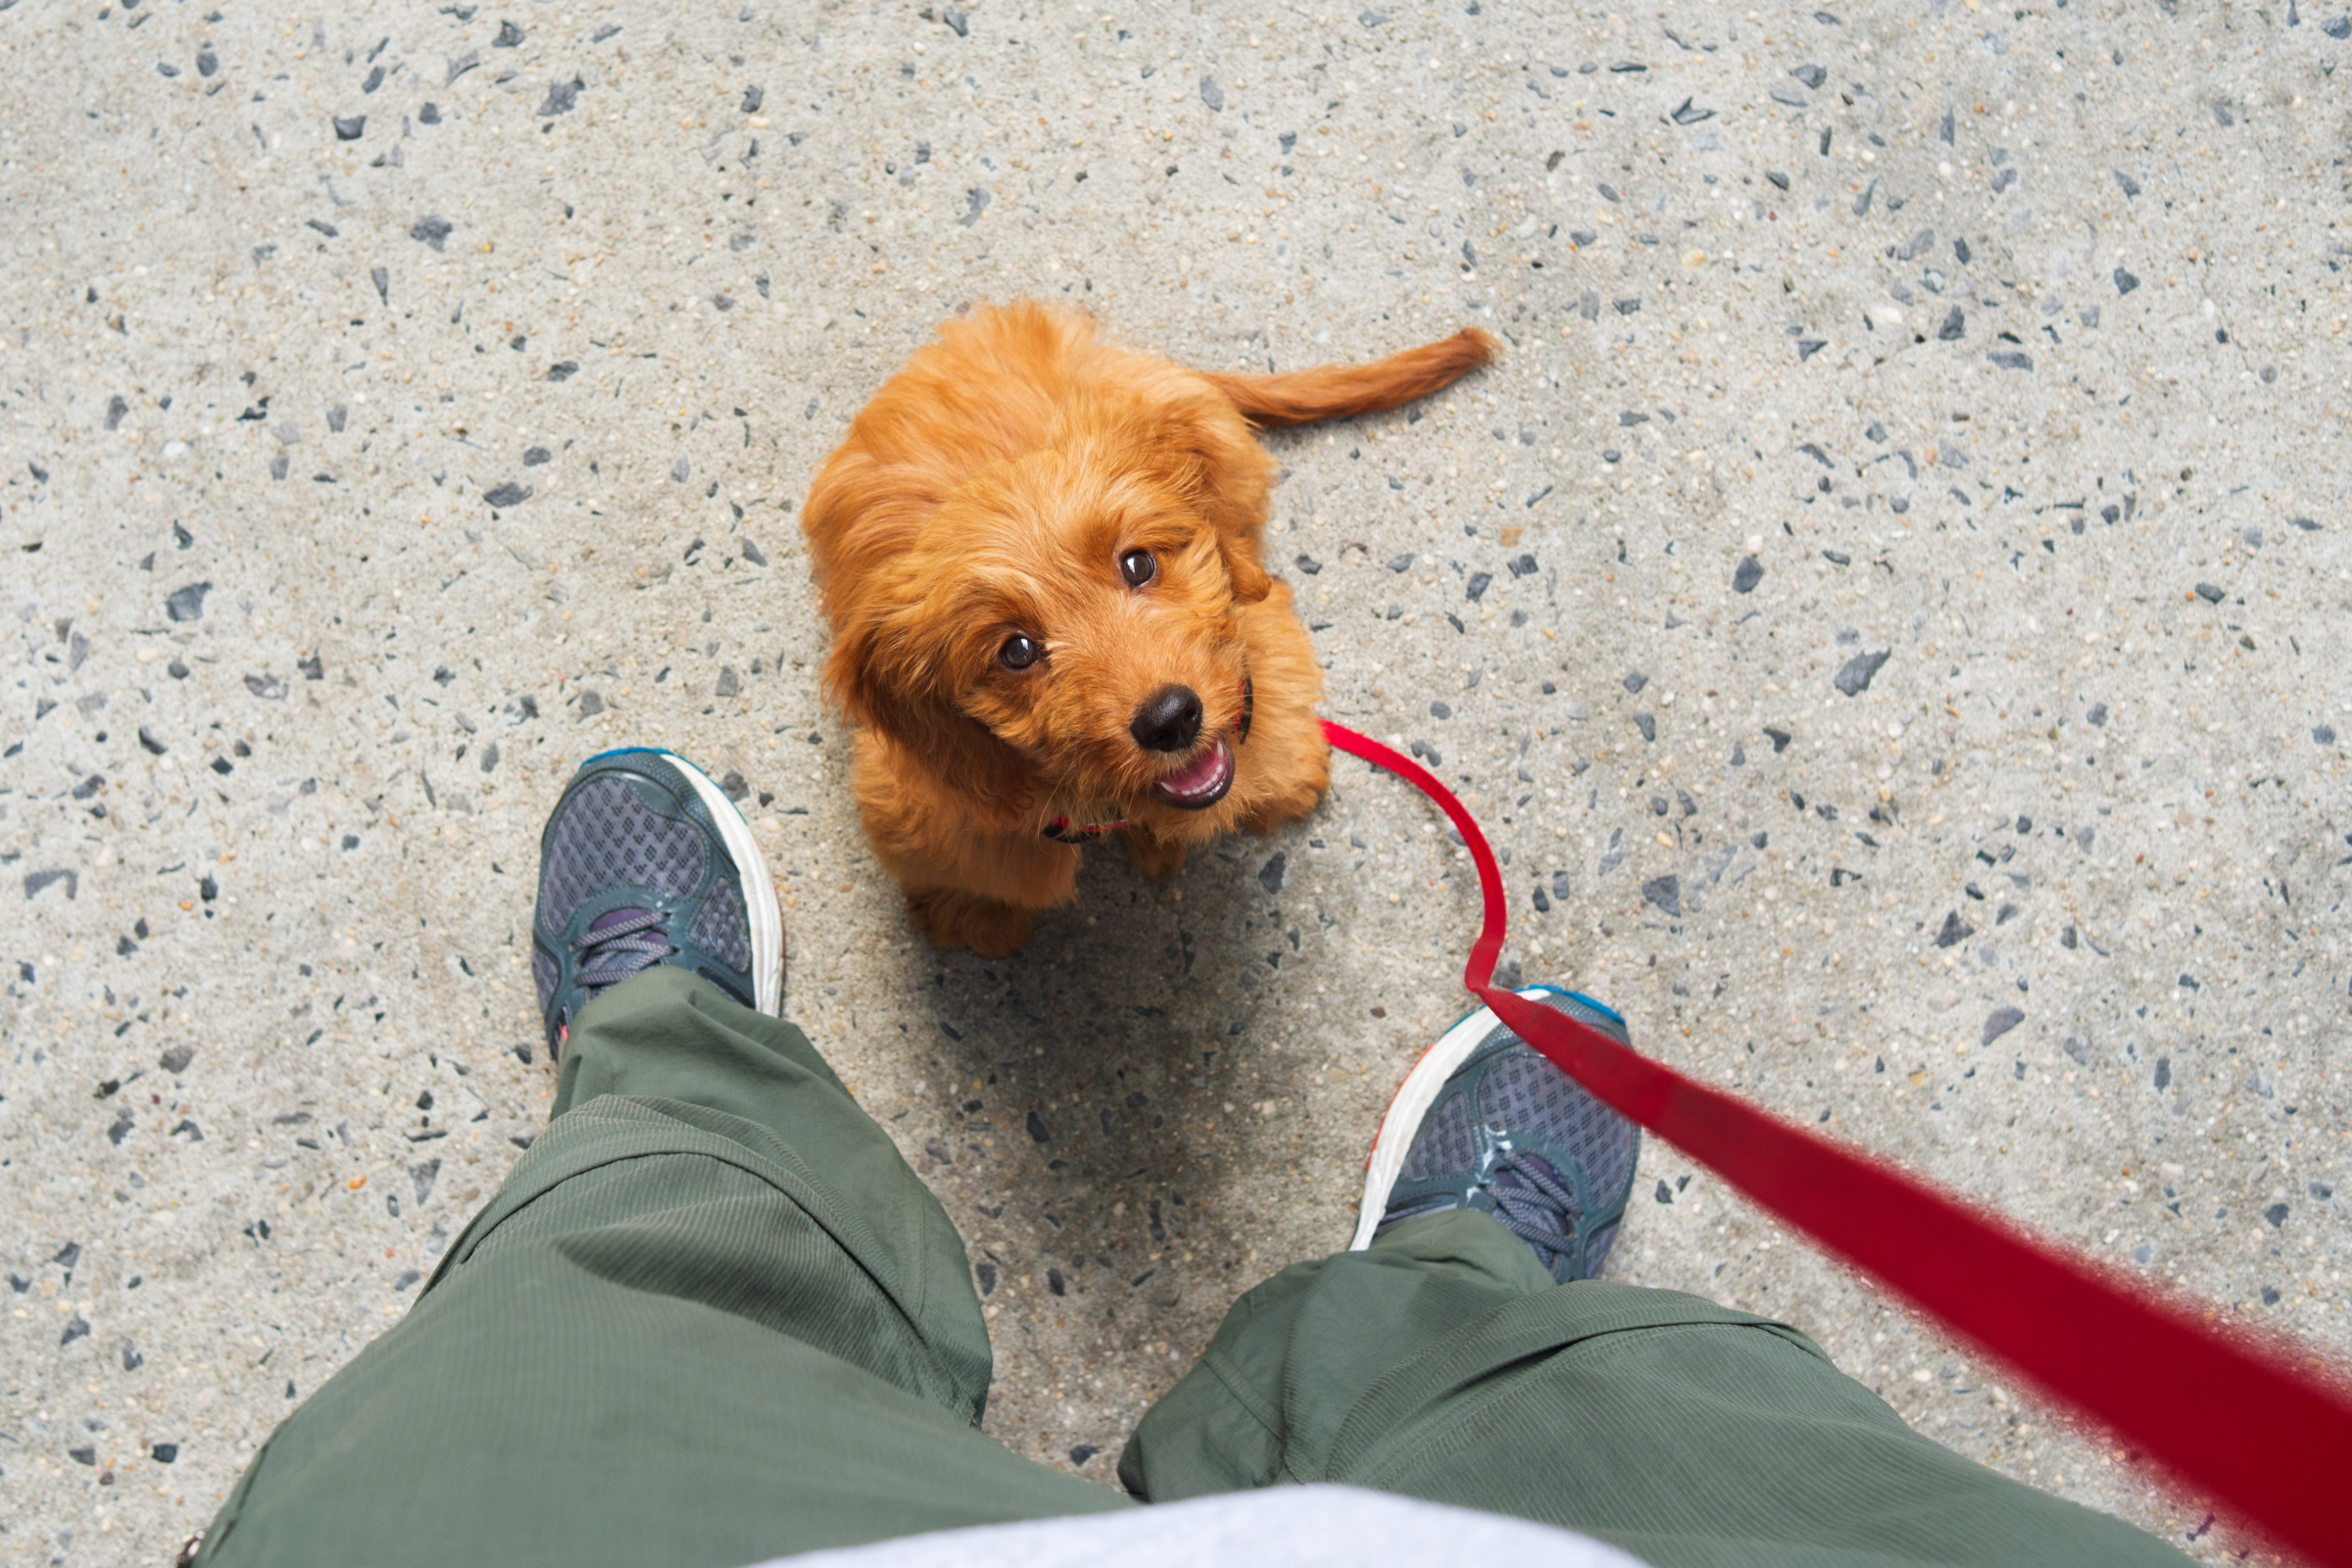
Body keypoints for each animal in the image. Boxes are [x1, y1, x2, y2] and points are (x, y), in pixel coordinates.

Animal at [802, 302, 1495, 957]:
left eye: (1138, 563)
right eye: (1016, 651)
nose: (1171, 720)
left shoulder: (1257, 643)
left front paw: (1286, 777)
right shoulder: (930, 800)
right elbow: (977, 866)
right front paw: (977, 913)